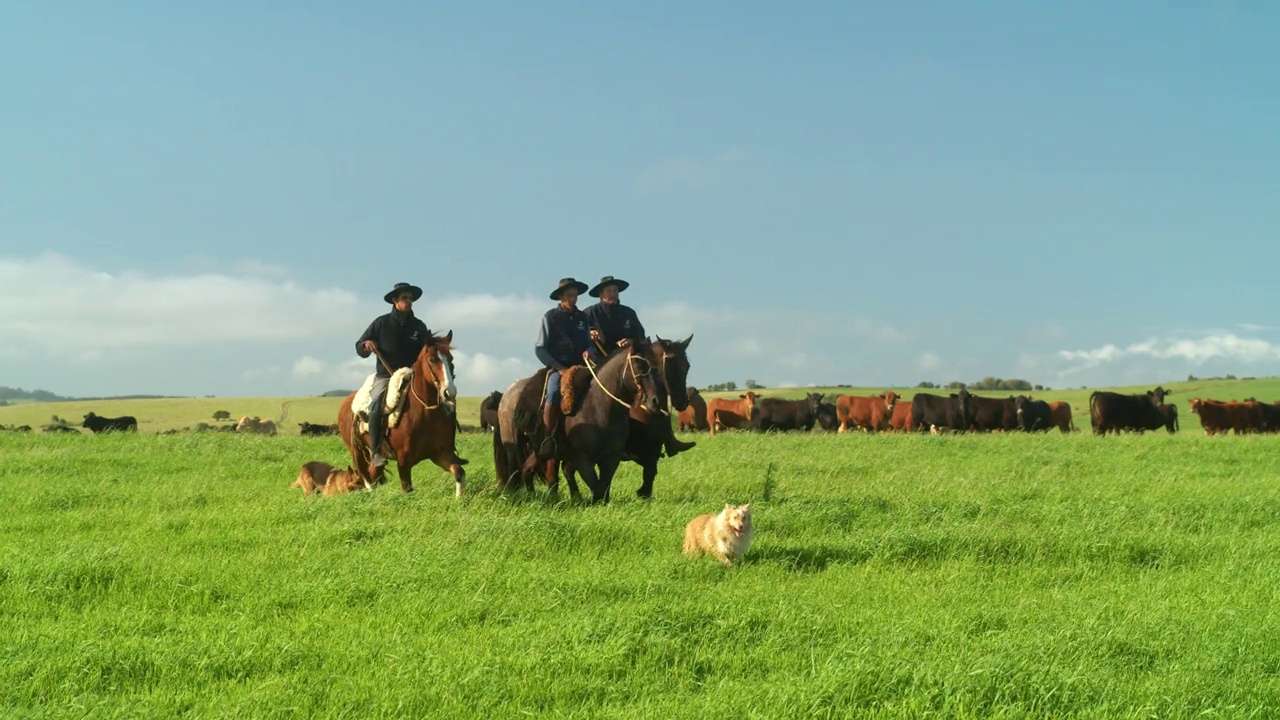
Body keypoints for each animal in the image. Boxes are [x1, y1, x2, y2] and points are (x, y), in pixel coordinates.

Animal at [337, 330, 468, 491]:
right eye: (432, 360)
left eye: (450, 359)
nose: (449, 392)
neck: (426, 412)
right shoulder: (404, 463)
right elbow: (407, 488)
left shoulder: (442, 455)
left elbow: (459, 473)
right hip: (357, 452)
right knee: (366, 479)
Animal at [494, 338, 665, 502]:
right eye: (639, 365)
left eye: (654, 367)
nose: (655, 401)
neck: (598, 406)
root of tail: (507, 395)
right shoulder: (583, 459)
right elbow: (597, 488)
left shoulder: (611, 459)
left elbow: (603, 489)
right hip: (514, 446)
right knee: (516, 471)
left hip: (537, 450)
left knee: (527, 470)